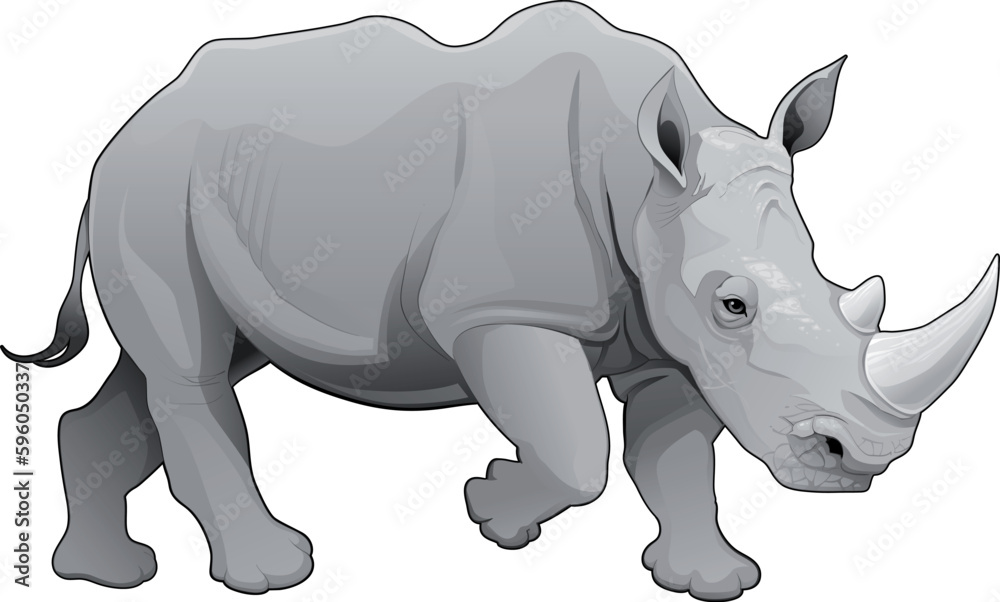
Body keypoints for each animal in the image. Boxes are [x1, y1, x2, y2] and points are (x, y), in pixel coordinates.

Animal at [4, 2, 996, 599]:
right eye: (733, 306)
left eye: (836, 285)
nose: (859, 460)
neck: (648, 182)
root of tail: (120, 132)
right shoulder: (503, 309)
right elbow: (580, 449)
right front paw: (493, 512)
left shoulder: (663, 333)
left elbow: (673, 455)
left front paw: (712, 579)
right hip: (149, 185)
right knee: (192, 369)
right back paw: (273, 573)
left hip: (200, 188)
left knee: (171, 372)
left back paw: (104, 574)